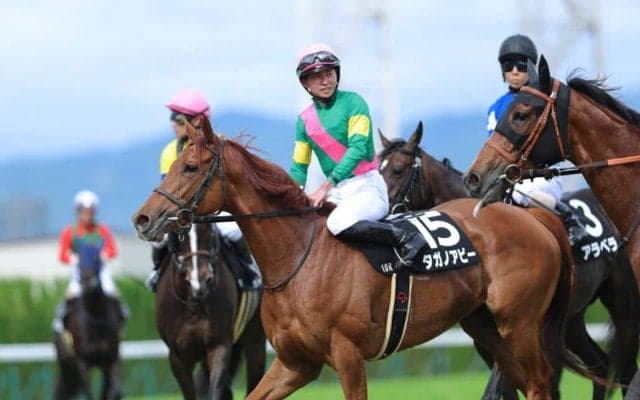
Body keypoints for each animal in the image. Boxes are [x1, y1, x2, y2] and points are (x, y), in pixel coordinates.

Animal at [53, 242, 123, 400]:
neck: (96, 317)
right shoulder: (82, 361)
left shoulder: (111, 358)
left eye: (97, 258)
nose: (86, 279)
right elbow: (89, 393)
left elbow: (114, 391)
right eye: (79, 259)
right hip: (66, 363)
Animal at [155, 222, 266, 399]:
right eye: (180, 235)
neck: (193, 304)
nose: (200, 281)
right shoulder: (178, 356)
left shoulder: (219, 345)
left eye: (208, 229)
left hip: (255, 340)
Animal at [379, 122, 640, 399]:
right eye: (377, 169)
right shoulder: (486, 340)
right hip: (572, 322)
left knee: (624, 370)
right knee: (599, 366)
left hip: (622, 305)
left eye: (397, 171)